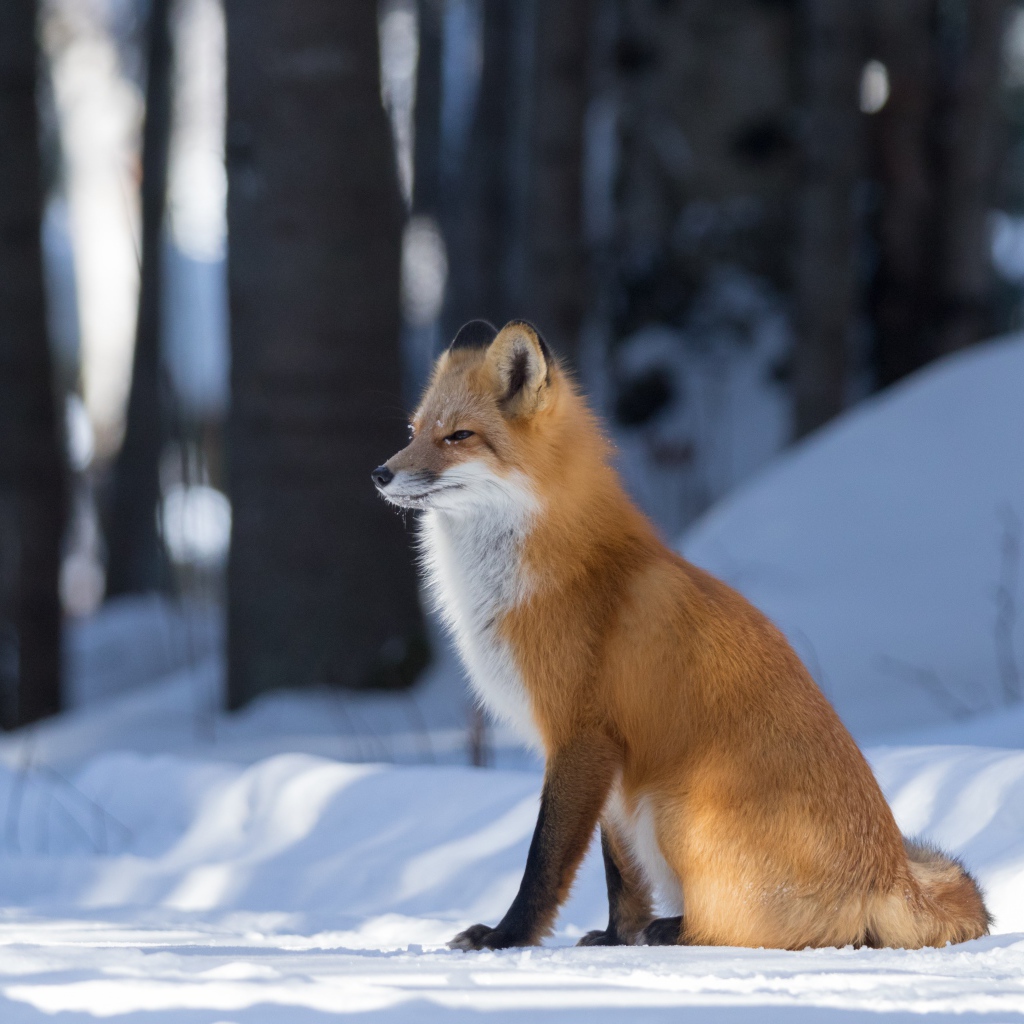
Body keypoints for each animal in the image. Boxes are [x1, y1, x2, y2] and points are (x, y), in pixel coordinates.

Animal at [372, 315, 987, 946]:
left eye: (458, 436)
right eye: (415, 431)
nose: (380, 473)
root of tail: (890, 876)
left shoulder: (580, 735)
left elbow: (545, 860)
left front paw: (506, 938)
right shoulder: (611, 760)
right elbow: (620, 871)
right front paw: (615, 938)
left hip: (673, 806)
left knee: (729, 930)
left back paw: (677, 931)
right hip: (647, 798)